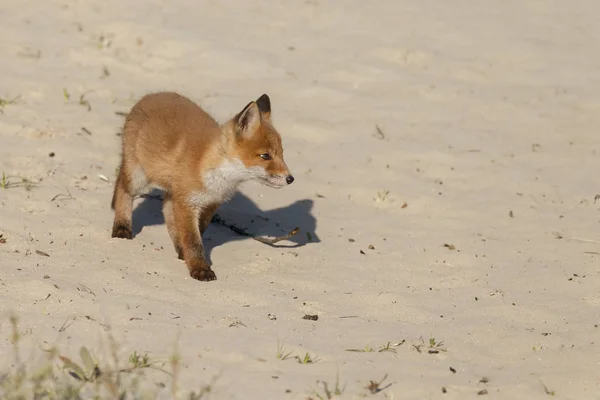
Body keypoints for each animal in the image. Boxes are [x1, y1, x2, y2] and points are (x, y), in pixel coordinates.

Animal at [110, 93, 296, 282]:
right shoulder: (187, 202)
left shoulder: (210, 204)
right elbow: (193, 240)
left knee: (166, 207)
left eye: (281, 154)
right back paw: (122, 226)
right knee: (123, 191)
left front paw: (186, 254)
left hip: (172, 189)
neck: (218, 176)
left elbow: (197, 231)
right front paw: (199, 268)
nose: (290, 179)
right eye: (265, 156)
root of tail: (150, 96)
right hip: (138, 176)